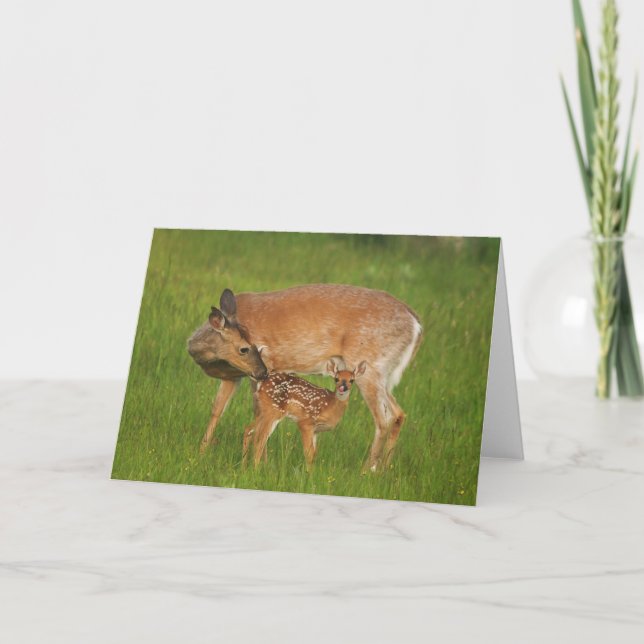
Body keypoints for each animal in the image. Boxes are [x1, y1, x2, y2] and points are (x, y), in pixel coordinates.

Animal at [188, 284, 422, 471]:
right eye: (244, 348)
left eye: (254, 347)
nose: (263, 370)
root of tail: (416, 325)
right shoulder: (234, 377)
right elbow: (216, 410)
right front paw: (201, 455)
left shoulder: (262, 371)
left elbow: (259, 413)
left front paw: (260, 464)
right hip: (383, 375)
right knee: (398, 414)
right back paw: (383, 470)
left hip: (369, 366)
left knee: (383, 419)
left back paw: (366, 471)